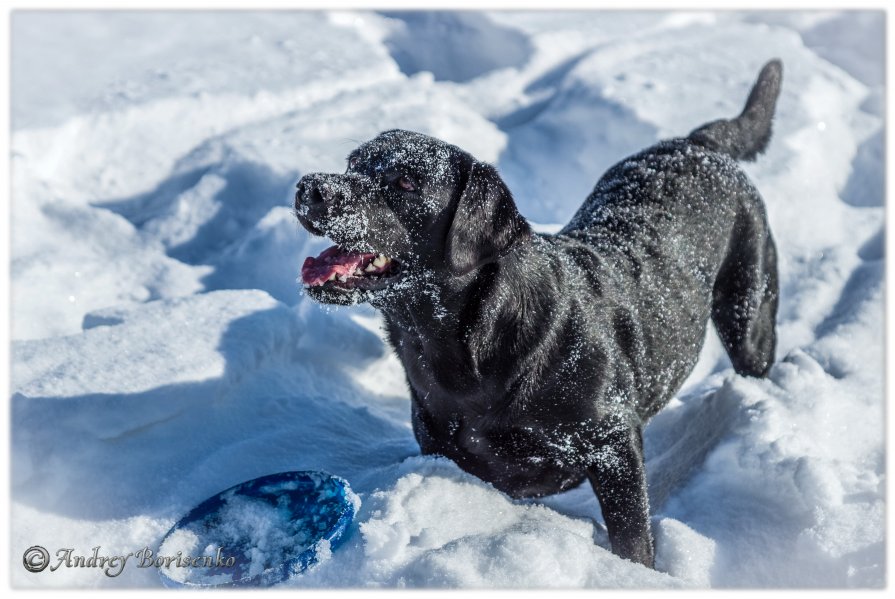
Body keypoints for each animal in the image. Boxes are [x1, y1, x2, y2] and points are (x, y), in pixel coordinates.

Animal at [296, 59, 784, 568]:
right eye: (352, 165)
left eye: (406, 183)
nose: (310, 186)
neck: (465, 349)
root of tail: (697, 143)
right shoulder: (440, 447)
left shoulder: (613, 444)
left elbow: (632, 540)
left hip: (748, 308)